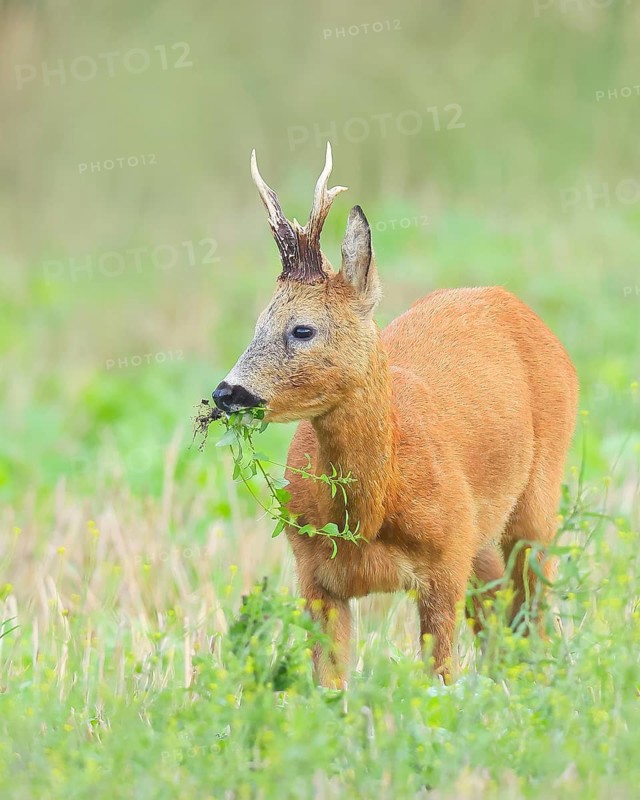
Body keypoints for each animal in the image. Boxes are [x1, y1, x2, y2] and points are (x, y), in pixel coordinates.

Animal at [212, 144, 579, 689]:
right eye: (257, 323)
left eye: (302, 329)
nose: (227, 392)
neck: (368, 516)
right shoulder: (314, 575)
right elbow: (328, 688)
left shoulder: (445, 562)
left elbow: (440, 678)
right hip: (483, 536)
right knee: (500, 618)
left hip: (538, 494)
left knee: (533, 608)